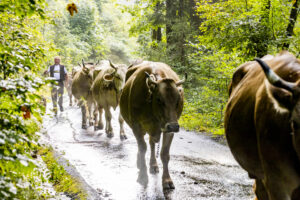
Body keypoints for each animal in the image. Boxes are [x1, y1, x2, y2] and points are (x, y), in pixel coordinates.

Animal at [119, 61, 185, 190]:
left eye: (178, 100)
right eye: (159, 99)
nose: (174, 126)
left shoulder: (168, 130)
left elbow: (164, 154)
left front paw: (167, 180)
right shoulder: (136, 126)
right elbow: (142, 148)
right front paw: (143, 176)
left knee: (152, 143)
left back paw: (153, 165)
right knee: (144, 145)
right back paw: (140, 163)